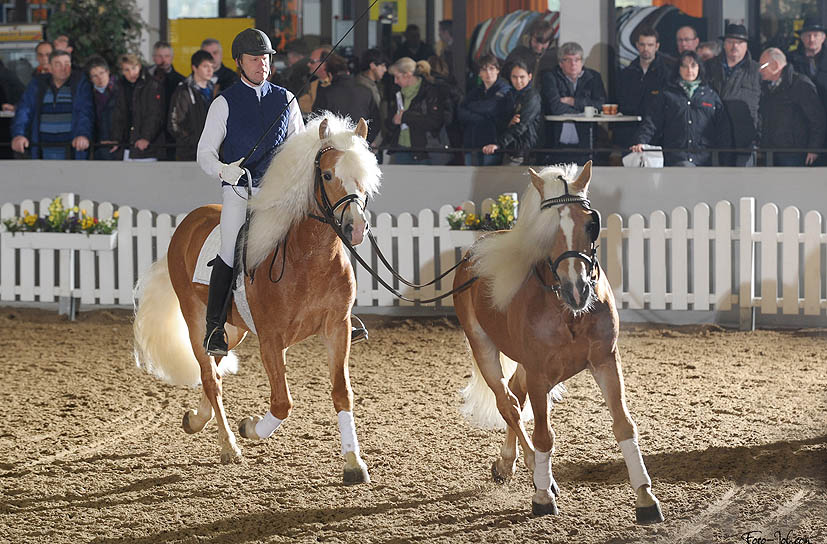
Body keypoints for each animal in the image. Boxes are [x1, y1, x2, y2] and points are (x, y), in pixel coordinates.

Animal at [133, 115, 382, 484]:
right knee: (210, 377)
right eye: (326, 175)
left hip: (232, 330)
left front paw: (354, 464)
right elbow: (282, 403)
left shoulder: (336, 329)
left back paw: (197, 419)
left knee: (213, 370)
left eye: (364, 176)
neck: (309, 256)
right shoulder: (271, 340)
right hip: (196, 319)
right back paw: (229, 446)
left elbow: (341, 393)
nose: (355, 228)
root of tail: (191, 221)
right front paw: (249, 428)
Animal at [452, 162, 668, 524]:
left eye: (591, 223)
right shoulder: (540, 373)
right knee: (508, 403)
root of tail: (474, 251)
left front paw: (645, 497)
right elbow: (543, 435)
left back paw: (507, 463)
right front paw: (542, 495)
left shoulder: (606, 360)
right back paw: (535, 473)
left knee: (515, 394)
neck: (569, 312)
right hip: (483, 347)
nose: (576, 289)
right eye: (546, 229)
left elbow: (624, 426)